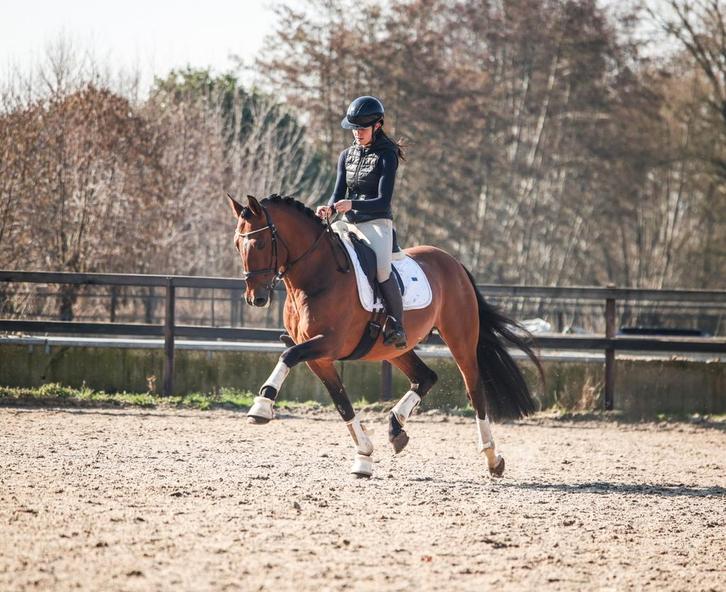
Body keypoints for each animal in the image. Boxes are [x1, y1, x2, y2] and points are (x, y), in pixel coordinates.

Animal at [229, 193, 542, 478]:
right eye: (237, 244)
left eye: (259, 243)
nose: (255, 298)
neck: (316, 277)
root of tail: (453, 262)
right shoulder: (320, 358)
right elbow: (342, 403)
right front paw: (364, 458)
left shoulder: (327, 344)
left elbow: (288, 354)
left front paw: (261, 406)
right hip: (395, 348)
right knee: (425, 377)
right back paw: (396, 428)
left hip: (460, 339)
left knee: (474, 389)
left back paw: (492, 458)